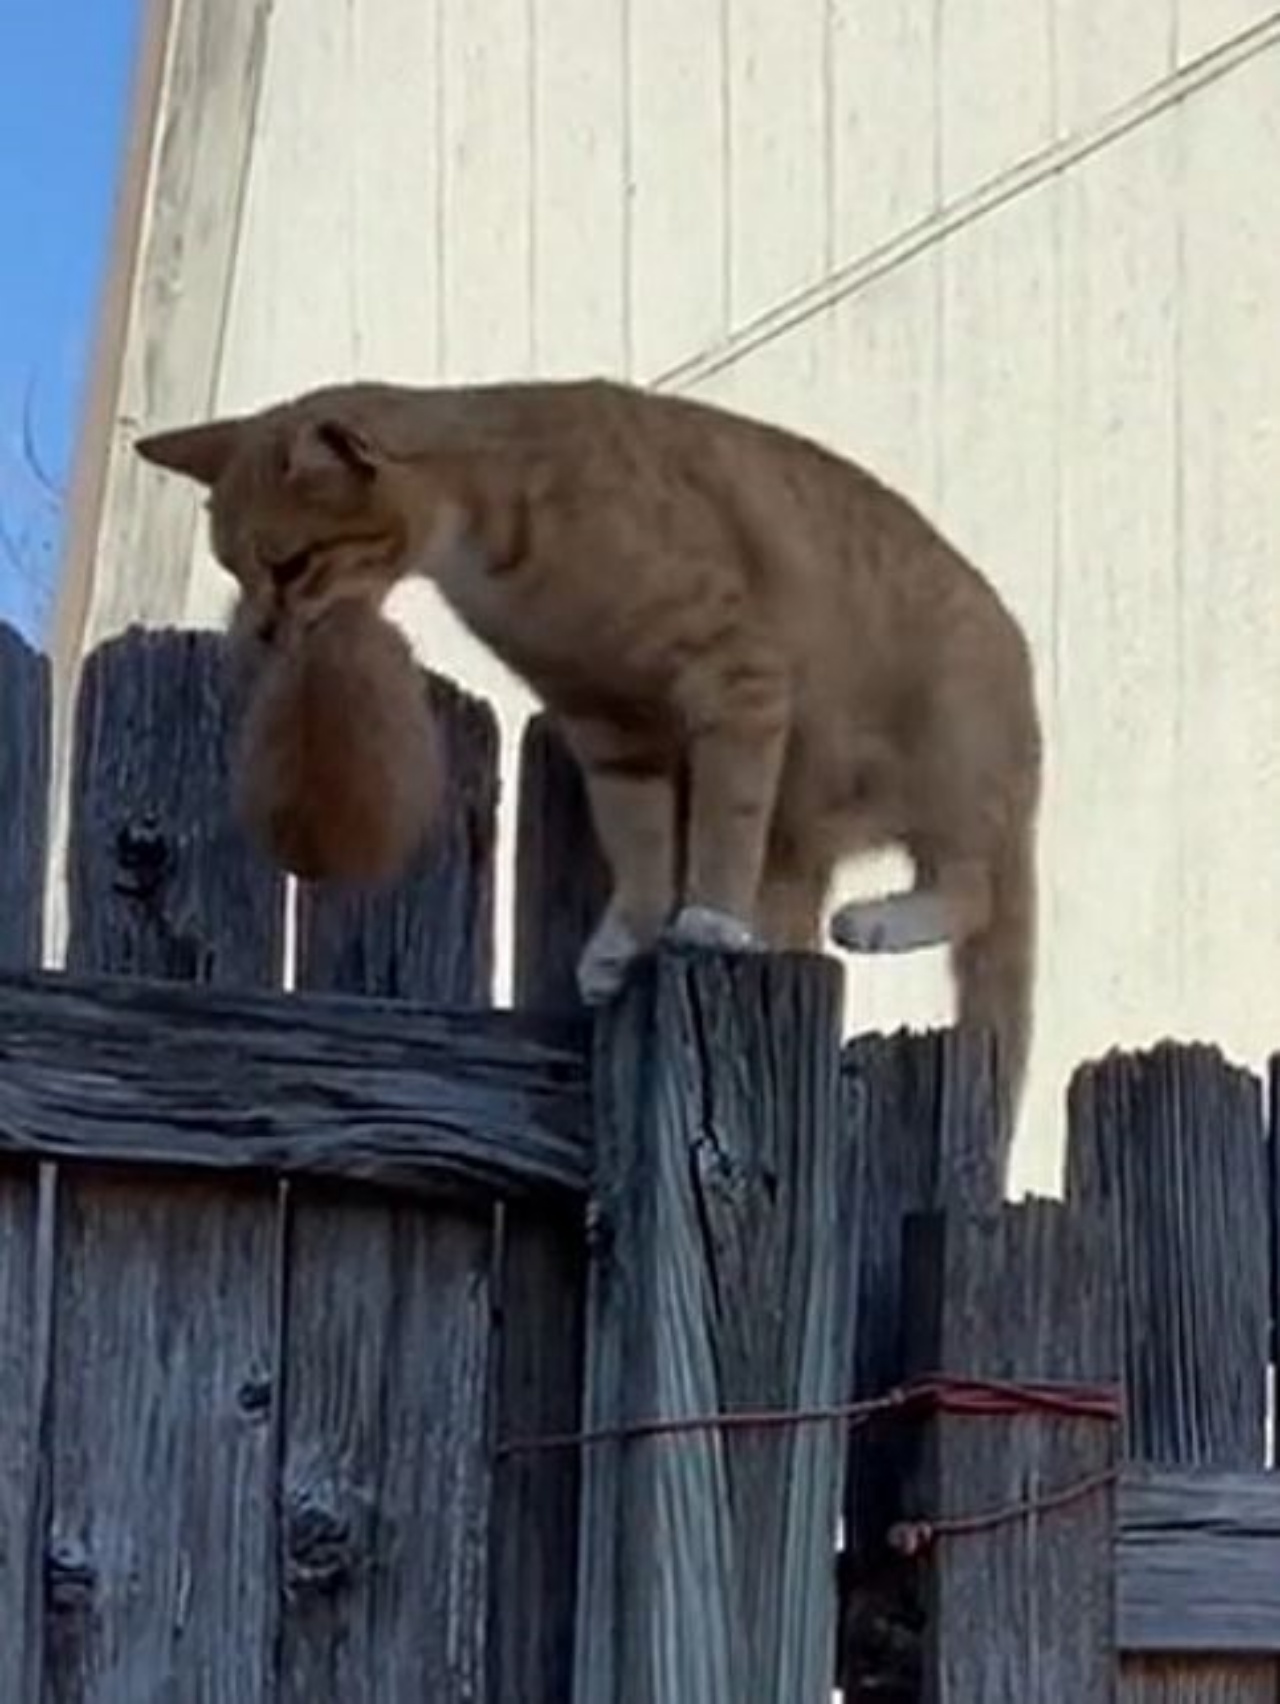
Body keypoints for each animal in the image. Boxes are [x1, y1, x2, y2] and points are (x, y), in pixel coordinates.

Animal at [138, 381, 1043, 1138]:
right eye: (234, 569)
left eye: (288, 564)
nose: (261, 632)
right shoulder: (610, 728)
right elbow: (640, 845)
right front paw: (626, 937)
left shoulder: (736, 676)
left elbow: (723, 824)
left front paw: (708, 917)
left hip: (938, 761)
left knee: (974, 887)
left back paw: (879, 917)